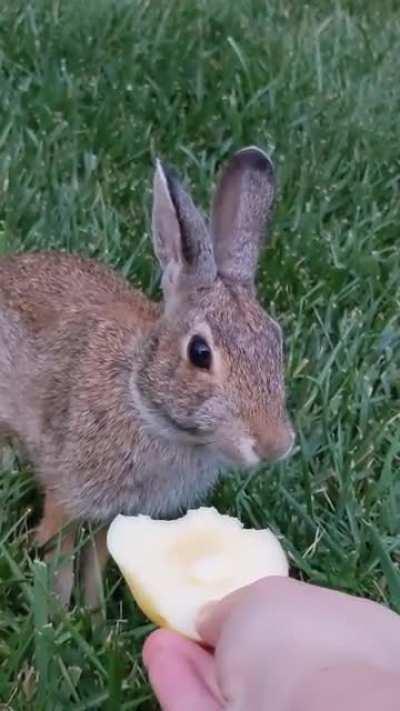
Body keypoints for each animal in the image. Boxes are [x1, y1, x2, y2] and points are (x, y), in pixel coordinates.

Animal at [0, 147, 295, 609]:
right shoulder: (70, 490)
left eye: (275, 342)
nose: (274, 446)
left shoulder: (118, 512)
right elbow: (62, 550)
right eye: (199, 353)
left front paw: (94, 612)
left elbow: (98, 555)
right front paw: (59, 611)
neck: (142, 397)